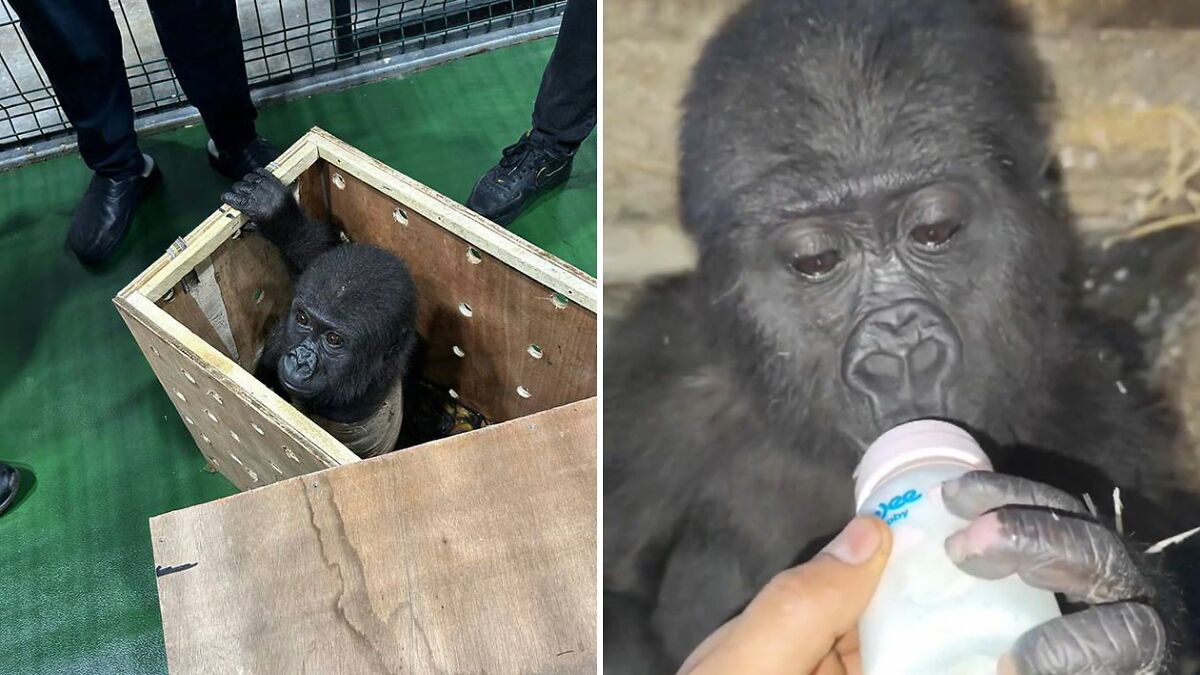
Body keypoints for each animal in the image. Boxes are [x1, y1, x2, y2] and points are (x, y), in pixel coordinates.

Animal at [603, 0, 1200, 672]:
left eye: (934, 231)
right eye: (816, 260)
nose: (900, 353)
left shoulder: (1103, 401)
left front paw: (1109, 617)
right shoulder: (654, 388)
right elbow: (613, 597)